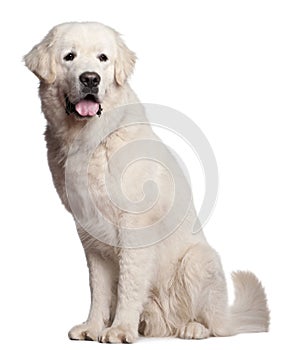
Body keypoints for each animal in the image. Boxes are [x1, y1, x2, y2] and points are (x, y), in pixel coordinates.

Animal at [24, 22, 268, 344]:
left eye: (103, 58)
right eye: (69, 56)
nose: (90, 79)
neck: (91, 138)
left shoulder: (134, 227)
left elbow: (129, 284)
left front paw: (119, 329)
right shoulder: (90, 233)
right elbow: (98, 289)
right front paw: (93, 327)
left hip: (198, 260)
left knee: (216, 325)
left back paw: (193, 328)